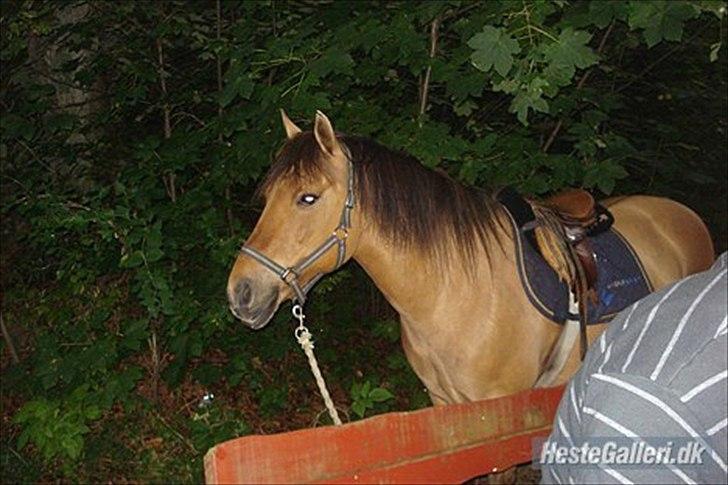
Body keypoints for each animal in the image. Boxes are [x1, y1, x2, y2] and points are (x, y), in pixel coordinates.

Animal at [227, 110, 714, 406]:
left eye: (308, 197)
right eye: (268, 197)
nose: (241, 292)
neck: (452, 296)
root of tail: (682, 214)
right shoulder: (445, 405)